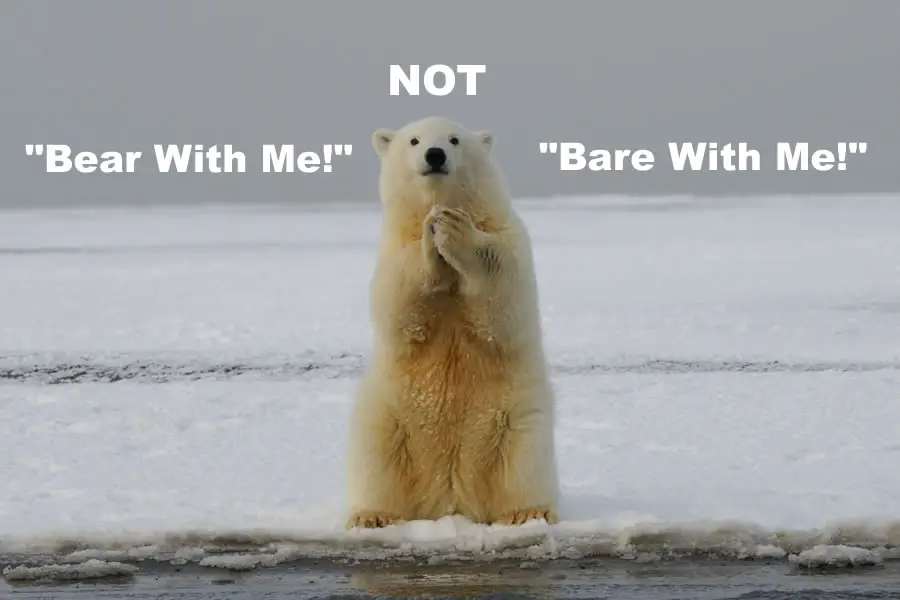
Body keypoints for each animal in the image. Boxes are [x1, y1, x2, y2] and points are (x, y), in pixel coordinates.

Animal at [345, 116, 559, 529]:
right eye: (414, 140)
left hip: (516, 419)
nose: (435, 154)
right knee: (376, 461)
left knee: (524, 463)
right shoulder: (392, 249)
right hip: (388, 418)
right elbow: (397, 302)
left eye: (455, 139)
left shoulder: (508, 235)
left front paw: (455, 231)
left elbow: (505, 295)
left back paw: (527, 512)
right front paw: (433, 237)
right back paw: (373, 516)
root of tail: (451, 499)